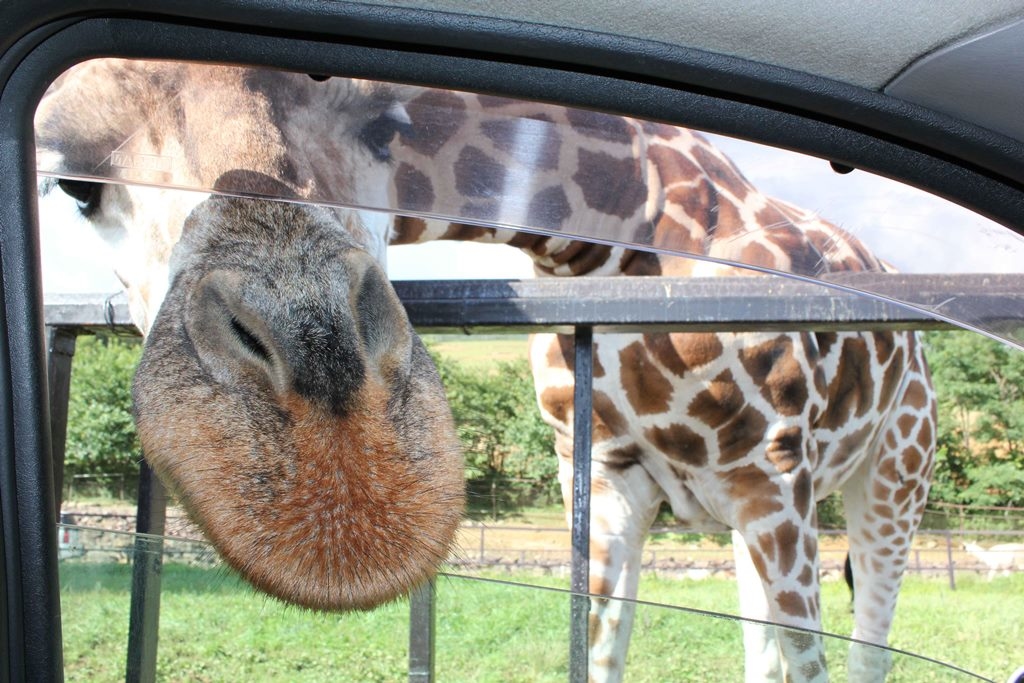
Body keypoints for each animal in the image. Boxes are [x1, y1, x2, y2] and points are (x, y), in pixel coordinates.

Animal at [36, 61, 937, 679]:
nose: (331, 463)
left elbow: (815, 659)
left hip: (893, 473)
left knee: (870, 640)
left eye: (385, 126)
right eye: (75, 183)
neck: (611, 234)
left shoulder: (775, 471)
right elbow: (600, 652)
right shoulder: (607, 473)